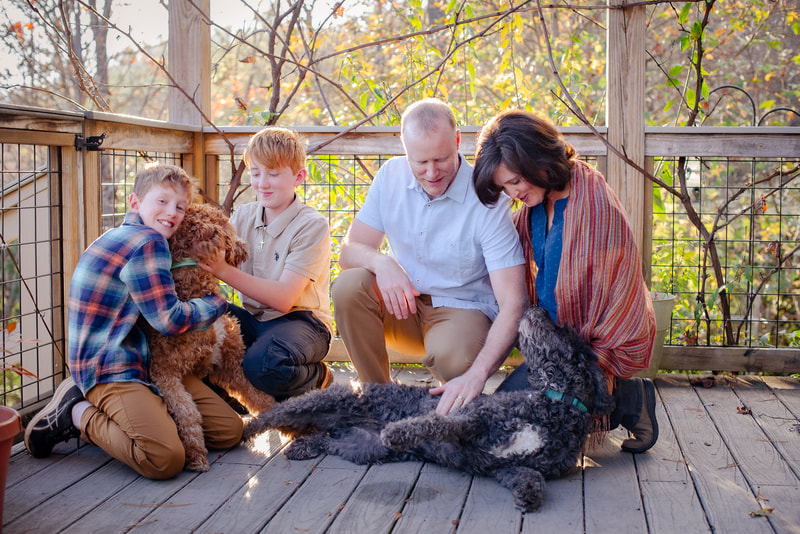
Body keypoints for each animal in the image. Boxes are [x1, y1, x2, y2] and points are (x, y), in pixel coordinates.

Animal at [149, 202, 276, 474]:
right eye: (227, 226)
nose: (244, 247)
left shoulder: (229, 363)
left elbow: (260, 397)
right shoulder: (164, 372)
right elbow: (187, 413)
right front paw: (196, 455)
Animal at [244, 308, 612, 512]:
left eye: (561, 330)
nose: (538, 306)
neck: (555, 406)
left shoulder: (508, 468)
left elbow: (532, 478)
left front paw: (529, 497)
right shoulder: (471, 420)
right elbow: (434, 424)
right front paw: (399, 430)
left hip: (361, 448)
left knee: (325, 440)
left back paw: (304, 447)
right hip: (324, 401)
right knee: (274, 415)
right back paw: (246, 431)